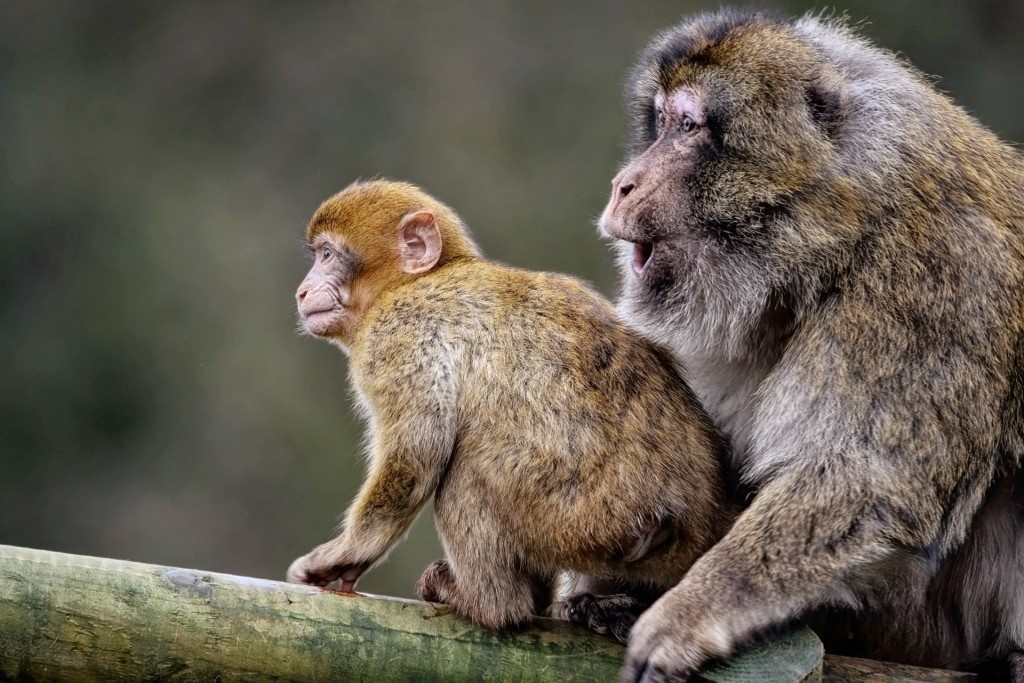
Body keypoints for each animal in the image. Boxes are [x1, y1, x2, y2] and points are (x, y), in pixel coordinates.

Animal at [284, 180, 741, 634]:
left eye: (328, 254)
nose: (302, 290)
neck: (410, 283)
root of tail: (703, 518)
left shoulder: (398, 333)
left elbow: (415, 458)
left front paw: (345, 555)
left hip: (588, 519)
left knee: (465, 467)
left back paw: (490, 604)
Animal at [593, 9, 1024, 683]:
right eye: (659, 122)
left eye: (688, 127)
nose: (623, 185)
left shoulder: (934, 282)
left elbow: (869, 482)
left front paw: (691, 611)